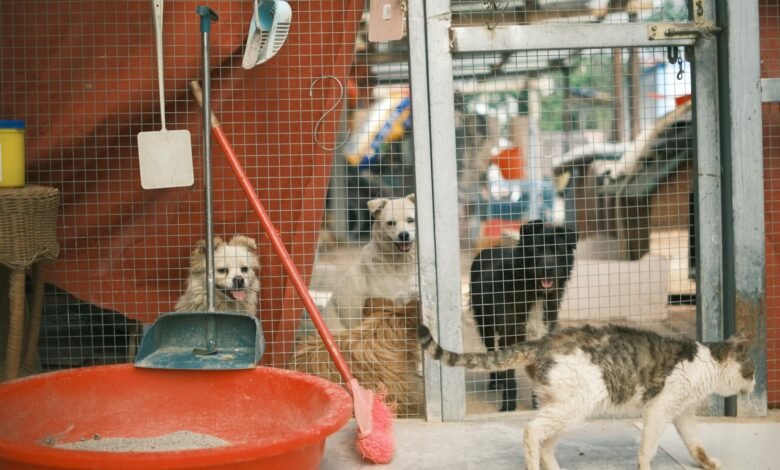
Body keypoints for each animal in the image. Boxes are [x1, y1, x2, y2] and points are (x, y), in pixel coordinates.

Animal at [420, 324, 756, 470]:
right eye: (751, 371)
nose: (754, 385)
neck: (706, 364)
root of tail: (542, 343)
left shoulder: (682, 413)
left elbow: (695, 443)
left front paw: (708, 463)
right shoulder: (660, 409)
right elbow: (648, 447)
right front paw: (645, 466)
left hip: (566, 408)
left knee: (545, 441)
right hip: (577, 404)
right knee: (531, 432)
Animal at [470, 220, 572, 412]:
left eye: (558, 250)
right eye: (537, 249)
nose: (548, 269)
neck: (534, 292)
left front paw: (537, 404)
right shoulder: (509, 335)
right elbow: (510, 378)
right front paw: (508, 406)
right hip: (485, 327)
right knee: (491, 352)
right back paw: (496, 381)